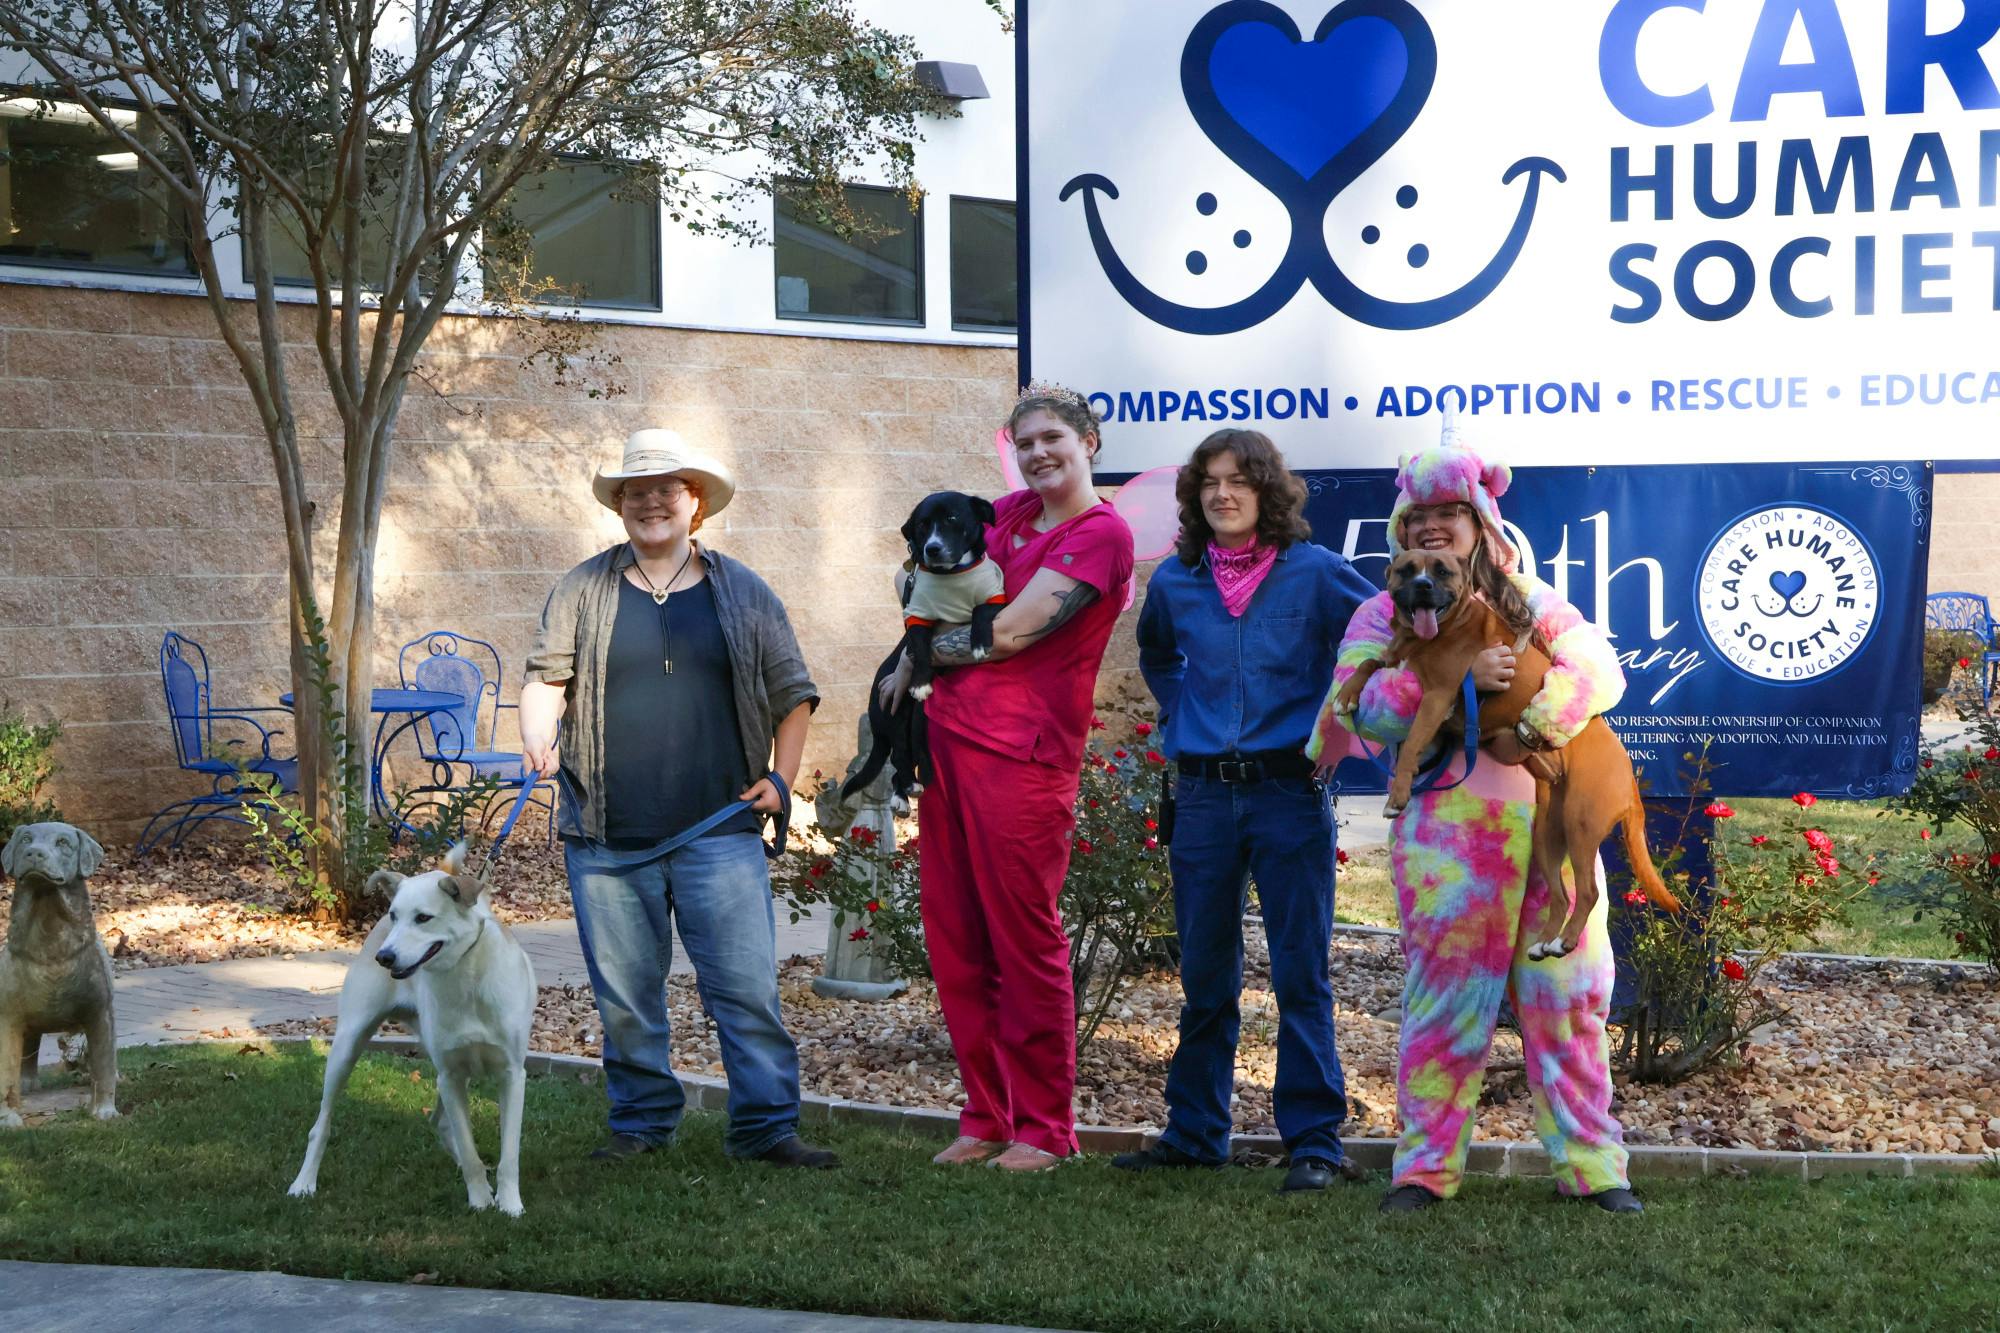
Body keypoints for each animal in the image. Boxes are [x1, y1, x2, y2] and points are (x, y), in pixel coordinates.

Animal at [290, 844, 536, 1208]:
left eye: (423, 918)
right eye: (395, 916)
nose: (384, 957)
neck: (467, 979)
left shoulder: (511, 1075)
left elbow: (510, 1154)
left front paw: (509, 1205)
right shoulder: (450, 1075)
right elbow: (469, 1149)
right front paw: (479, 1202)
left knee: (440, 1122)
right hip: (347, 1046)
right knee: (321, 1125)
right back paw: (303, 1183)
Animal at [840, 490, 1000, 792]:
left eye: (952, 518)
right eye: (923, 525)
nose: (932, 549)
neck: (952, 574)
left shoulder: (995, 595)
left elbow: (980, 610)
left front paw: (979, 643)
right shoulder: (918, 615)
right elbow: (922, 649)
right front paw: (921, 683)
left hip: (915, 722)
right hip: (897, 714)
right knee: (898, 755)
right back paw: (910, 786)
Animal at [1336, 548, 1680, 956]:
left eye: (1442, 571)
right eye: (1406, 570)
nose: (1423, 586)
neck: (1429, 634)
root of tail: (1629, 777)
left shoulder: (1437, 697)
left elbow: (1412, 744)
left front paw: (1397, 796)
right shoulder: (1399, 667)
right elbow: (1367, 662)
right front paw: (1346, 697)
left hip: (1581, 825)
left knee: (1589, 892)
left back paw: (1563, 941)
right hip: (1549, 837)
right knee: (1561, 895)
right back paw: (1543, 942)